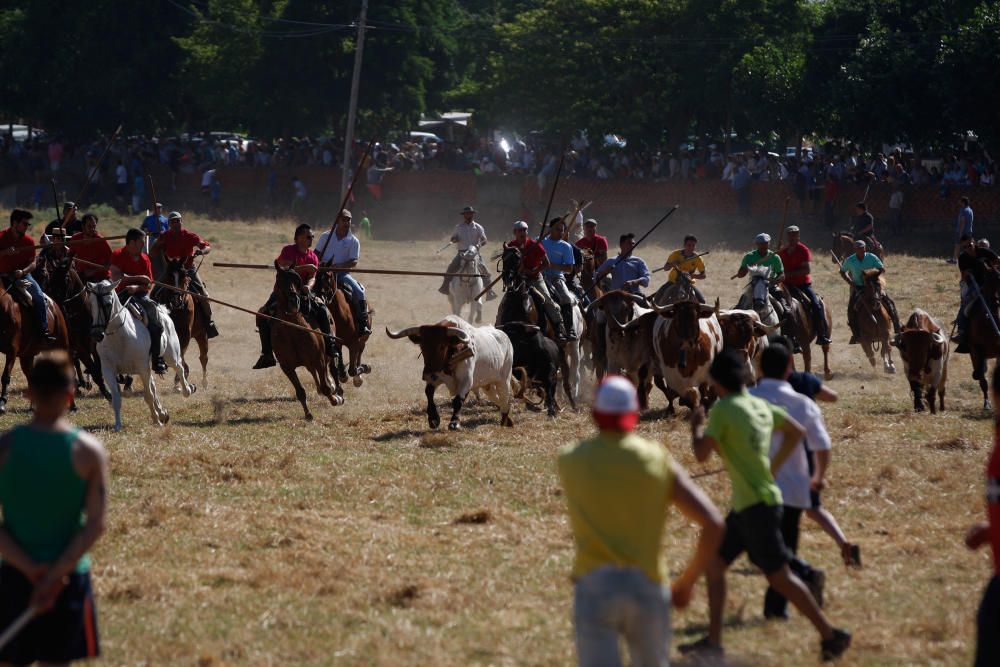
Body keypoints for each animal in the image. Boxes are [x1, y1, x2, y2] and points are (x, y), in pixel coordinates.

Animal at [0, 280, 71, 414]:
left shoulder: (12, 349)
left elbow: (5, 375)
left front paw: (2, 404)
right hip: (27, 356)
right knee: (32, 379)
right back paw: (33, 407)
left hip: (61, 345)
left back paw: (72, 406)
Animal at [36, 258, 111, 400]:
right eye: (52, 278)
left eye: (66, 277)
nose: (55, 302)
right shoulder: (79, 346)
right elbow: (91, 366)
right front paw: (106, 391)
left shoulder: (95, 341)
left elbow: (98, 362)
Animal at [84, 278, 193, 430]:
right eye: (91, 304)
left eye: (108, 303)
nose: (96, 334)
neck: (120, 336)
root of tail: (163, 312)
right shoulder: (108, 371)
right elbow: (117, 398)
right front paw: (118, 425)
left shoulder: (142, 368)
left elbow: (148, 396)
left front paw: (156, 420)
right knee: (153, 385)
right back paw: (162, 413)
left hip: (171, 356)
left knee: (180, 369)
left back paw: (187, 390)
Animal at [153, 258, 210, 388]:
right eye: (168, 277)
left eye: (185, 278)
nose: (176, 300)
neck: (176, 310)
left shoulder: (185, 334)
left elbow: (181, 354)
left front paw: (179, 378)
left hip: (201, 333)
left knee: (203, 357)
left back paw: (204, 382)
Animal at [270, 266, 344, 418]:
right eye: (279, 280)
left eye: (296, 281)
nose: (294, 301)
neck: (292, 330)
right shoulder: (287, 367)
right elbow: (300, 391)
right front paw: (308, 414)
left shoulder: (318, 360)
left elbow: (326, 386)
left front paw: (335, 399)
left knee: (330, 368)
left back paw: (336, 389)